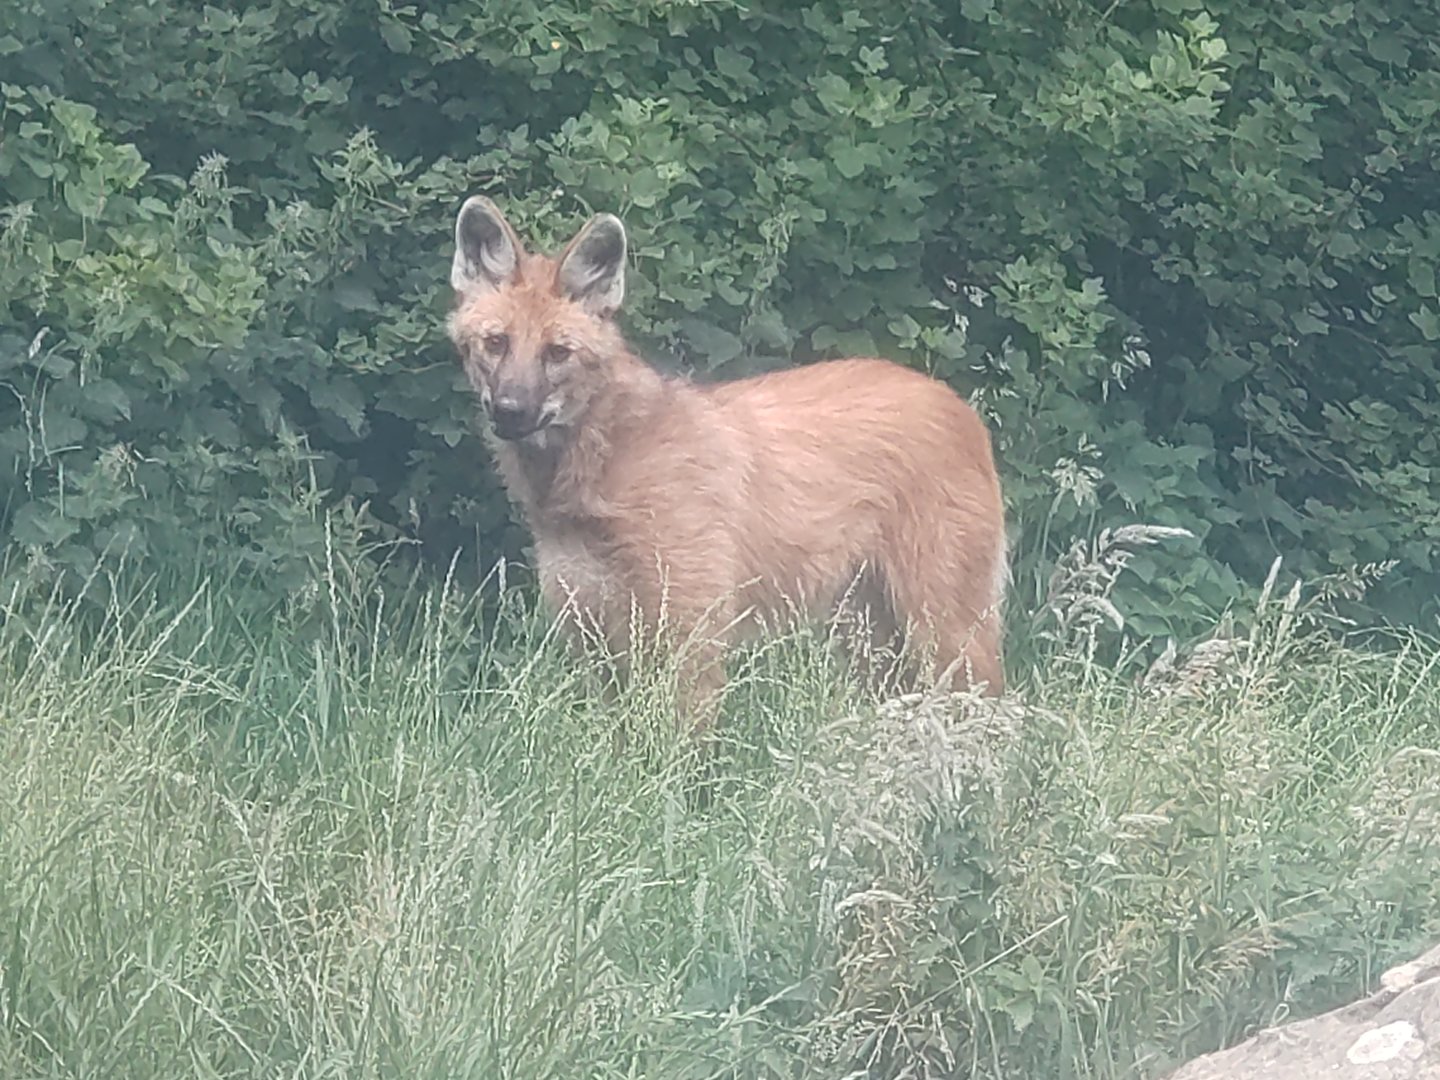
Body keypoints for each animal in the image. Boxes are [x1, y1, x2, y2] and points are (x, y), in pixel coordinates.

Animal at [445, 195, 1008, 732]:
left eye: (557, 352)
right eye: (496, 343)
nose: (510, 412)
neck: (599, 470)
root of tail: (955, 402)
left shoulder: (689, 636)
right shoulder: (596, 633)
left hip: (942, 625)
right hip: (869, 635)